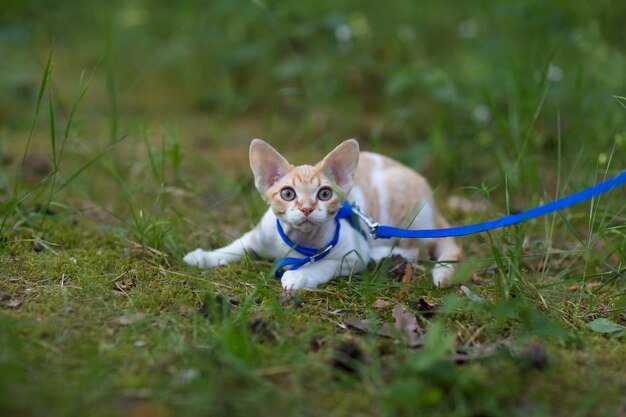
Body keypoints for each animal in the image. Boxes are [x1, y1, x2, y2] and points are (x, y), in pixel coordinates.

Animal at [183, 140, 460, 290]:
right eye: (287, 193)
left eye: (324, 194)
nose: (306, 208)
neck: (298, 242)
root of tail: (433, 203)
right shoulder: (259, 235)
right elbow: (236, 246)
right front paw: (205, 257)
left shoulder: (353, 254)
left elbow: (324, 264)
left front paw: (300, 274)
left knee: (415, 248)